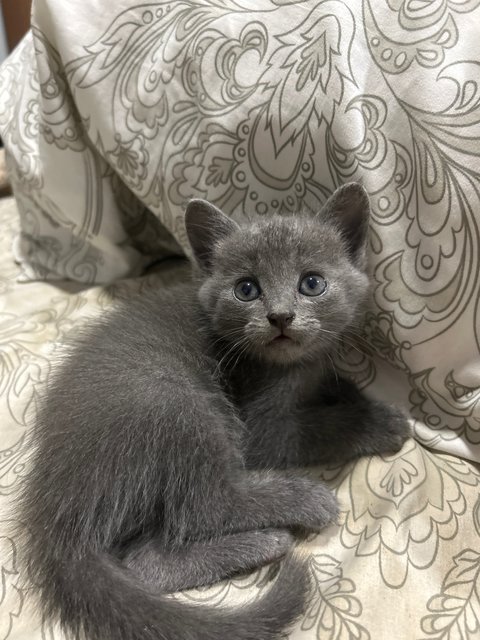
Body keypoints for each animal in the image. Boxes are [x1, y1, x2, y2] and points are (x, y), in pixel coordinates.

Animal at [17, 184, 408, 640]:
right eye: (247, 289)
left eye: (312, 283)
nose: (280, 316)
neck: (290, 367)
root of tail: (55, 512)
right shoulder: (263, 426)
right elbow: (315, 429)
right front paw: (381, 420)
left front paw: (349, 391)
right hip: (175, 402)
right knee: (205, 505)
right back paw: (289, 514)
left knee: (144, 563)